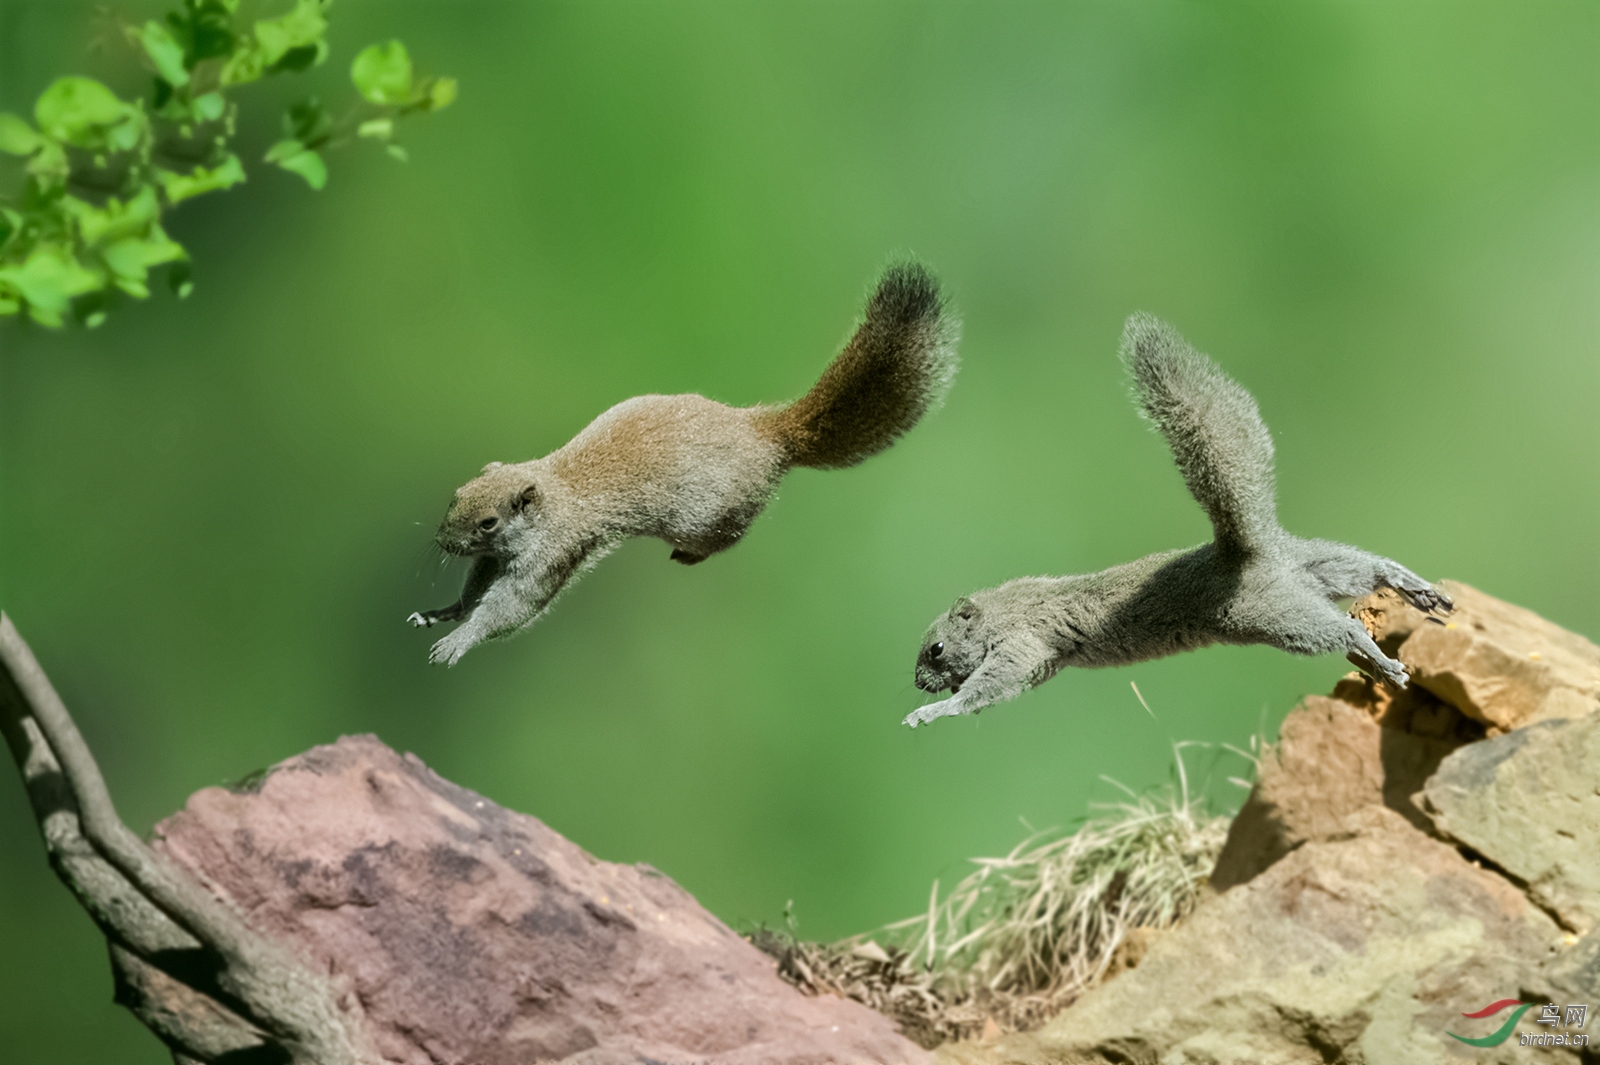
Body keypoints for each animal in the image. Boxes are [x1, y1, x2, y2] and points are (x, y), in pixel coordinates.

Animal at [416, 263, 960, 665]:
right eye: (457, 495)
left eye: (489, 522)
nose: (442, 541)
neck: (552, 495)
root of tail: (766, 432)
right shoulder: (496, 560)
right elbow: (475, 590)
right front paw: (443, 612)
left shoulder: (553, 554)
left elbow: (510, 609)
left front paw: (457, 642)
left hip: (706, 515)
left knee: (728, 535)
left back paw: (689, 555)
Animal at [908, 315, 1459, 725]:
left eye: (936, 648)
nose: (915, 683)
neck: (1003, 610)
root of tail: (1249, 551)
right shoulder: (1043, 659)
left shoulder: (1023, 642)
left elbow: (989, 687)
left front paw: (932, 711)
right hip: (1313, 566)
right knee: (1366, 568)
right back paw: (1415, 588)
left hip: (1276, 616)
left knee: (1341, 631)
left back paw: (1383, 661)